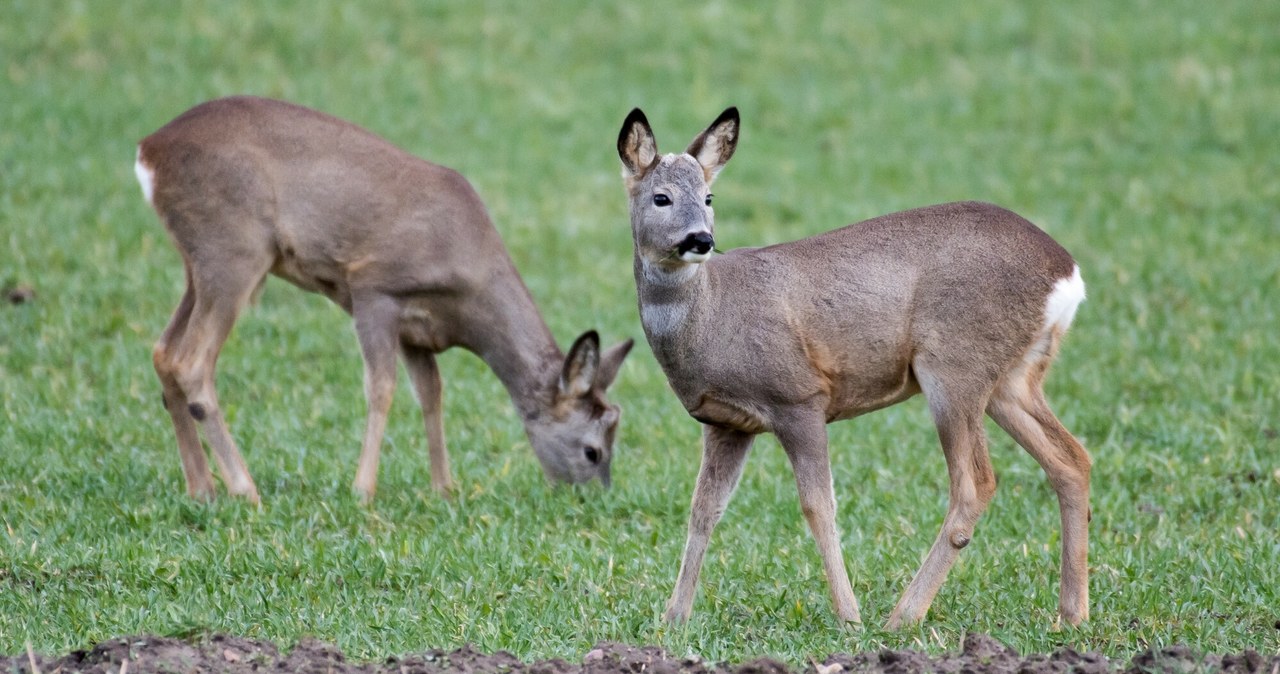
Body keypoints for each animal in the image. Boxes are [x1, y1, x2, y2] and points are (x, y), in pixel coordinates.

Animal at [132, 97, 632, 503]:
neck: (468, 289)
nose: (595, 497)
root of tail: (148, 152)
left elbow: (431, 392)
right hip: (234, 249)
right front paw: (363, 489)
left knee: (164, 352)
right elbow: (382, 388)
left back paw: (202, 489)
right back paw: (244, 488)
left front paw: (444, 488)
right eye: (592, 450)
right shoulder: (373, 288)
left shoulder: (418, 330)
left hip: (198, 264)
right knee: (192, 361)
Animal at [616, 105, 1090, 626]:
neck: (712, 317)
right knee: (1071, 460)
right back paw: (1072, 613)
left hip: (954, 365)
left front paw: (848, 616)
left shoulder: (798, 397)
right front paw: (673, 618)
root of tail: (1068, 275)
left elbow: (818, 507)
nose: (701, 239)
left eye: (708, 196)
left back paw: (902, 616)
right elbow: (703, 510)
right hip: (1013, 378)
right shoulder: (726, 423)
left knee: (975, 484)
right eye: (661, 197)